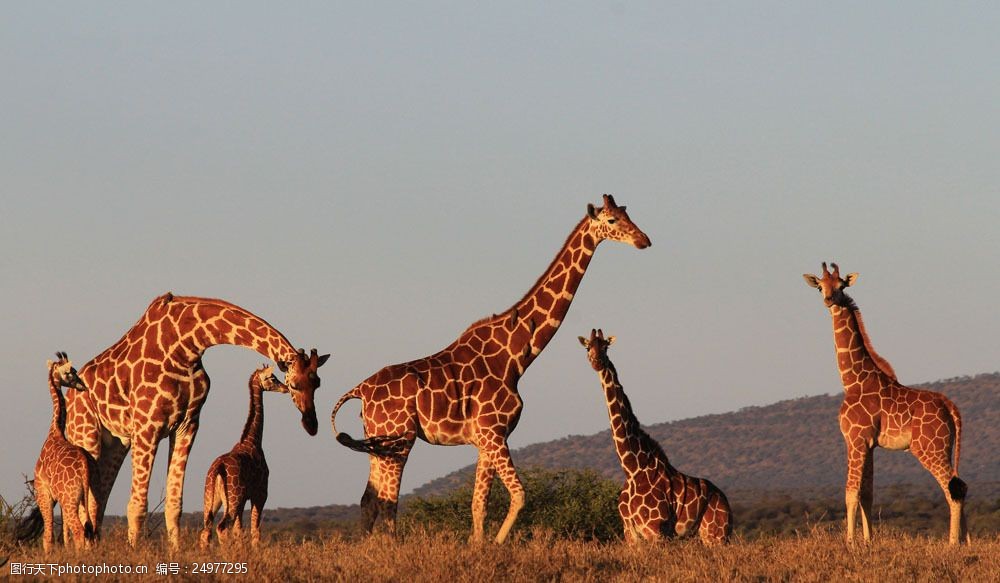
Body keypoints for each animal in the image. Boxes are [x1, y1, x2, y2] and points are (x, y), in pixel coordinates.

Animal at [33, 354, 99, 556]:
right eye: (70, 372)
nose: (83, 386)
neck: (55, 431)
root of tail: (85, 467)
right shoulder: (59, 498)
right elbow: (64, 533)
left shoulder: (43, 492)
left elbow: (48, 536)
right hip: (88, 495)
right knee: (90, 528)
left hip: (69, 498)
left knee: (79, 529)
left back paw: (79, 558)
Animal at [61, 294, 328, 548]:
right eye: (295, 384)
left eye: (318, 383)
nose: (312, 425)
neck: (187, 345)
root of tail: (70, 396)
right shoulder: (148, 426)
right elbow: (137, 504)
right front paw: (134, 552)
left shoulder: (186, 425)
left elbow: (174, 504)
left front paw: (175, 552)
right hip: (86, 434)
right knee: (85, 504)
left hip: (116, 443)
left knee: (99, 499)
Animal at [332, 195, 652, 544]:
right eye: (611, 220)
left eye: (627, 214)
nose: (644, 241)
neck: (515, 357)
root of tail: (360, 390)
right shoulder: (494, 432)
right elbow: (520, 495)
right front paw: (497, 544)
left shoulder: (485, 440)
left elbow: (478, 502)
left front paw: (478, 545)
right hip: (398, 440)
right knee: (387, 501)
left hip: (378, 442)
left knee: (369, 499)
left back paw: (366, 548)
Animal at [580, 330, 736, 544]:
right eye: (588, 347)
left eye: (605, 347)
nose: (597, 362)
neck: (632, 469)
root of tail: (726, 502)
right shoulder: (630, 532)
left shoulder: (655, 530)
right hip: (699, 535)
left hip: (716, 535)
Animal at [804, 262, 968, 544]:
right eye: (820, 287)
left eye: (841, 286)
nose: (829, 300)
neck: (852, 381)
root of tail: (950, 407)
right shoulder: (870, 444)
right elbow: (867, 495)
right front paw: (868, 541)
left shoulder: (855, 439)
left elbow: (850, 493)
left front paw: (850, 543)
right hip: (944, 447)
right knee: (962, 485)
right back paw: (968, 541)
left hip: (928, 448)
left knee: (951, 490)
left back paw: (951, 545)